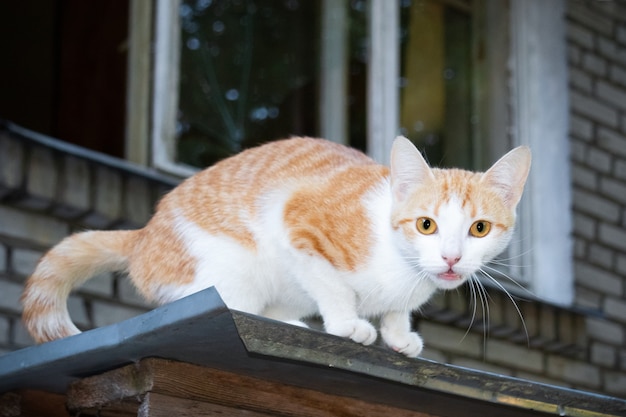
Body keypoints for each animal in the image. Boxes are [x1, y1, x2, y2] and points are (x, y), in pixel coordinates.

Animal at [19, 136, 528, 358]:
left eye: (479, 229)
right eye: (426, 224)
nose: (451, 257)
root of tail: (143, 235)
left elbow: (396, 310)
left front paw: (399, 333)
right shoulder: (295, 221)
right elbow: (333, 286)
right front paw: (348, 324)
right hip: (230, 269)